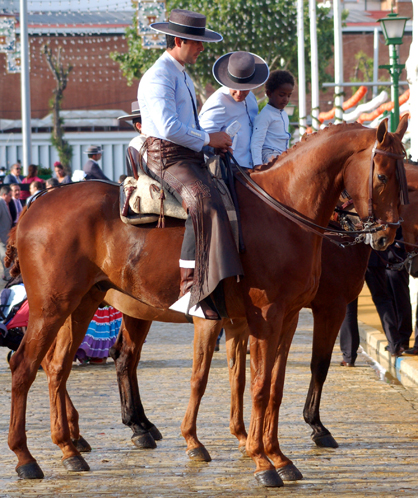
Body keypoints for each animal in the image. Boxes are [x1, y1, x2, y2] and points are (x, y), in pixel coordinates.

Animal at [5, 117, 404, 486]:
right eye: (384, 176)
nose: (387, 237)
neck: (284, 212)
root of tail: (35, 204)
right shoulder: (269, 316)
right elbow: (257, 386)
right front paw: (262, 460)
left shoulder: (287, 318)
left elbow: (272, 387)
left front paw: (277, 456)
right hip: (52, 307)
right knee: (25, 365)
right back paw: (26, 457)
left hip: (82, 303)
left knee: (58, 367)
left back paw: (69, 447)